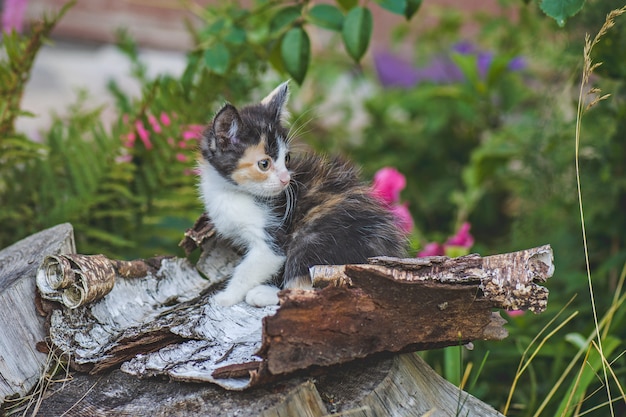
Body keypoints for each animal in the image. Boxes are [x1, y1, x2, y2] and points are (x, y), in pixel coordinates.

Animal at [199, 83, 404, 308]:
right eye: (264, 164)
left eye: (287, 158)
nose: (286, 180)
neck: (231, 190)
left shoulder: (272, 238)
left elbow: (249, 269)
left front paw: (226, 297)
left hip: (313, 239)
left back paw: (264, 294)